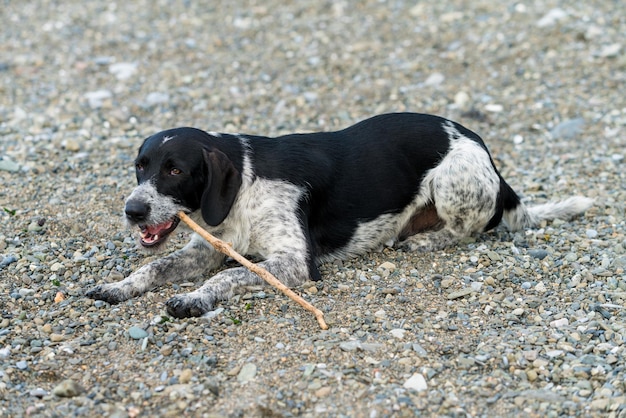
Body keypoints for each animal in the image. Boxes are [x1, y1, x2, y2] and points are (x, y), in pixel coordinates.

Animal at [85, 112, 592, 318]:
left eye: (176, 170)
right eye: (141, 165)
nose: (133, 210)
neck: (244, 185)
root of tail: (487, 154)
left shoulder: (295, 263)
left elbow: (228, 276)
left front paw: (195, 299)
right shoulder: (207, 248)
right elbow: (154, 267)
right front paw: (118, 286)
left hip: (454, 179)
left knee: (473, 228)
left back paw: (422, 239)